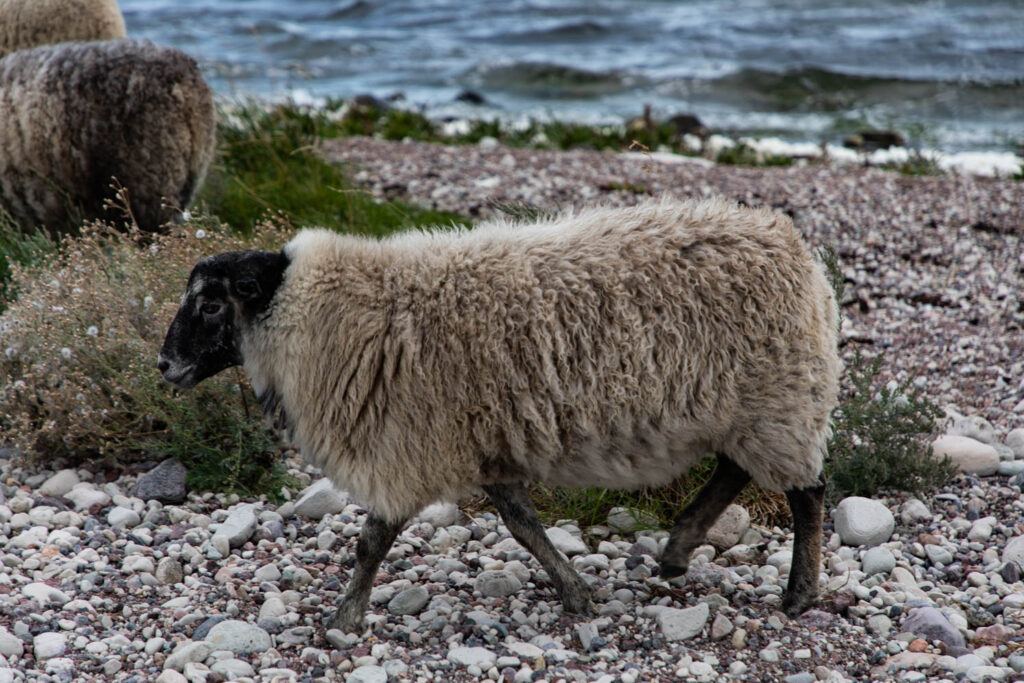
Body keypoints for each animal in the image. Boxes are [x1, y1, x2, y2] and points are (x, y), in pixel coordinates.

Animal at [157, 194, 839, 634]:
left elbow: (372, 541)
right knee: (734, 471)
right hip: (750, 408)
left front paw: (345, 618)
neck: (326, 315)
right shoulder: (484, 444)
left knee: (806, 494)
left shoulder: (407, 446)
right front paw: (575, 591)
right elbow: (522, 524)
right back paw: (678, 548)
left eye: (212, 304)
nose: (165, 365)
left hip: (780, 401)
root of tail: (792, 245)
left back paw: (799, 593)